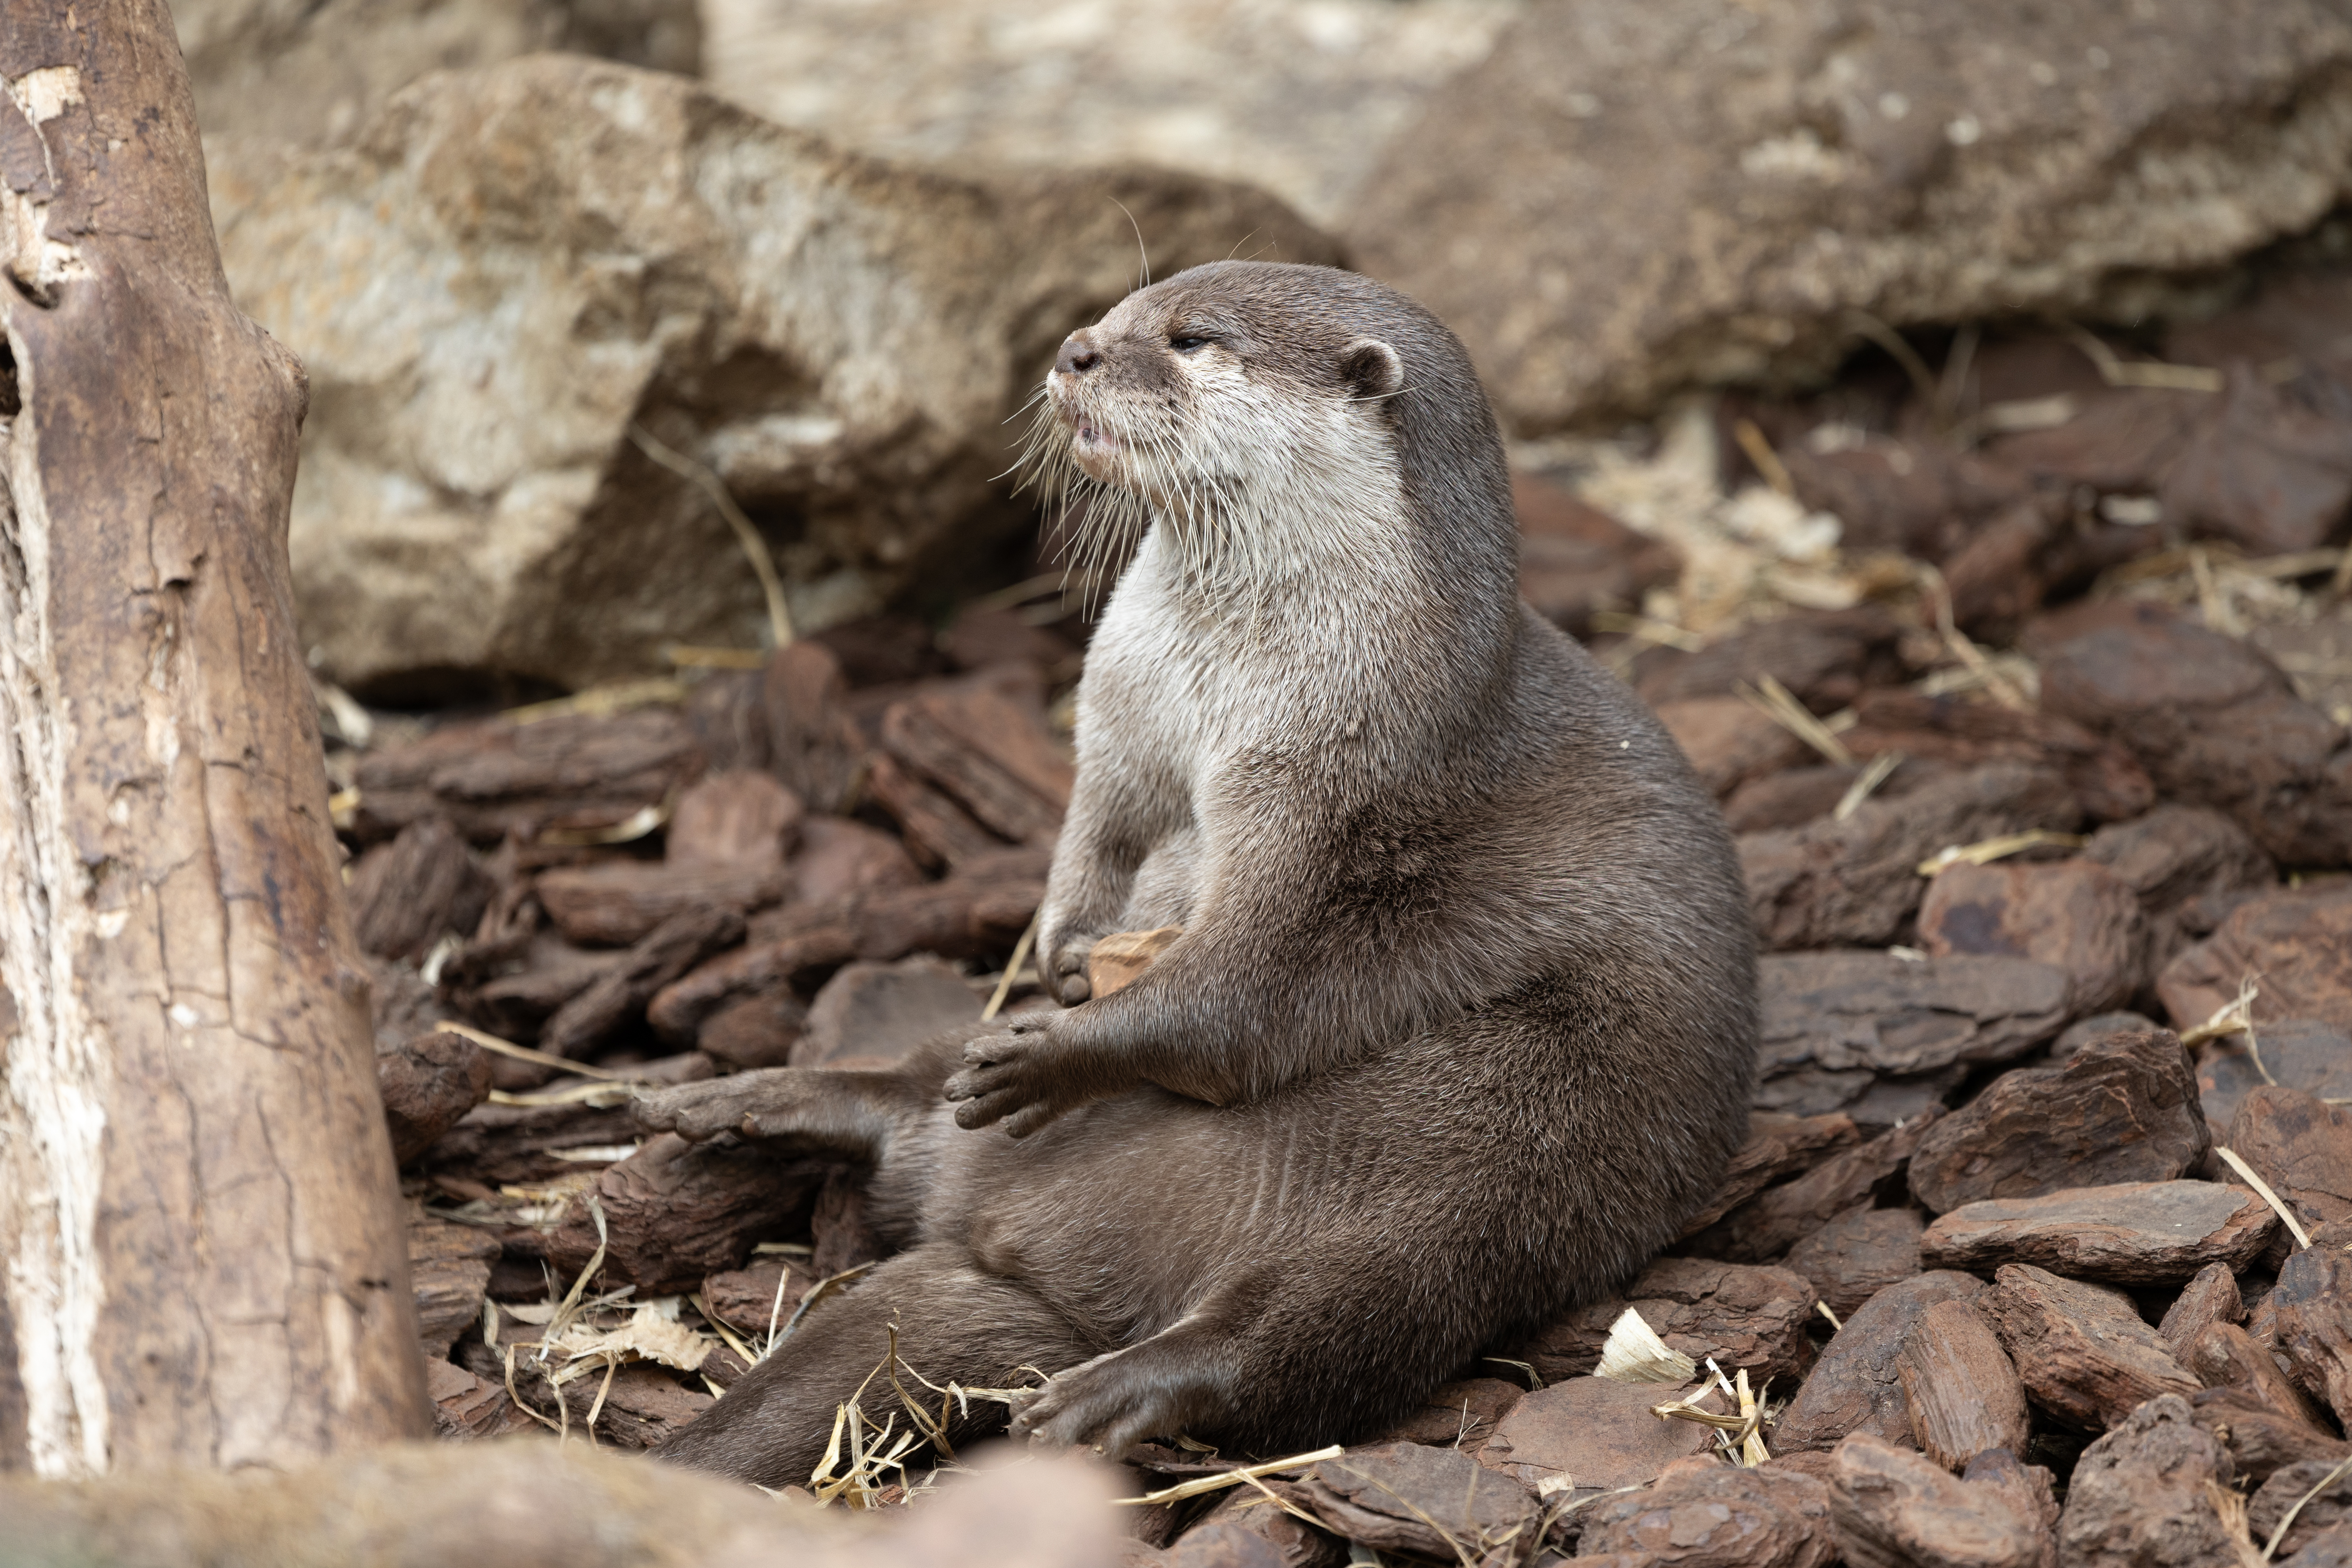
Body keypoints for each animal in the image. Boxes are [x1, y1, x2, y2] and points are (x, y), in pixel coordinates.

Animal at [635, 261, 1756, 1482]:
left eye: (1191, 339)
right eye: (1120, 308)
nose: (1075, 348)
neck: (1223, 680)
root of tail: (1000, 1234)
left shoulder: (1347, 791)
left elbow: (1230, 1006)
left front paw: (1056, 1055)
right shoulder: (1119, 716)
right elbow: (1095, 837)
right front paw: (1059, 945)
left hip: (1463, 1201)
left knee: (1310, 1325)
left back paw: (1115, 1389)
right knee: (916, 1097)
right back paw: (758, 1098)